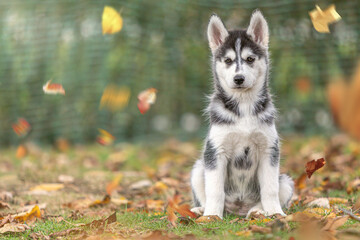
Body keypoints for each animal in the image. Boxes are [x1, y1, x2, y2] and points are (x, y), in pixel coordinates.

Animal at [190, 10, 294, 218]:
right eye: (228, 61)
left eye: (250, 59)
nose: (239, 78)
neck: (244, 106)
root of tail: (237, 210)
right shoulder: (215, 150)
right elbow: (214, 190)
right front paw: (212, 216)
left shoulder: (269, 149)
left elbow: (270, 189)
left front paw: (275, 213)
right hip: (198, 168)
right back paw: (202, 210)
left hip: (285, 181)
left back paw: (258, 211)